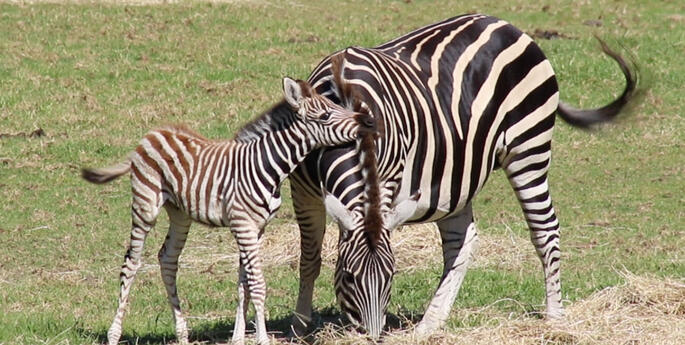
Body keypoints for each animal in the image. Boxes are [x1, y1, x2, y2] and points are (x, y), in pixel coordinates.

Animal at [288, 14, 636, 338]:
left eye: (392, 276)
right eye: (348, 275)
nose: (372, 337)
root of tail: (508, 25)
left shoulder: (385, 181)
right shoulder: (302, 191)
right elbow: (310, 256)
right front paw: (299, 325)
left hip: (529, 147)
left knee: (544, 228)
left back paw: (554, 317)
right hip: (454, 174)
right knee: (462, 240)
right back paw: (430, 323)